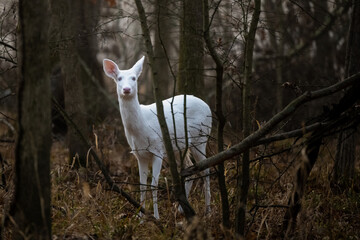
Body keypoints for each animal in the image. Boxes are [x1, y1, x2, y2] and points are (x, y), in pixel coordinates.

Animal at [102, 56, 211, 219]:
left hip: (201, 137)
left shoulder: (157, 149)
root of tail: (208, 106)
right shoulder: (139, 154)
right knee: (189, 168)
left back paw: (208, 211)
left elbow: (153, 185)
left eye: (134, 78)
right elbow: (142, 185)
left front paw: (156, 217)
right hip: (178, 147)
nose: (126, 89)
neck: (141, 127)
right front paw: (140, 218)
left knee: (206, 169)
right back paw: (180, 209)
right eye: (119, 78)